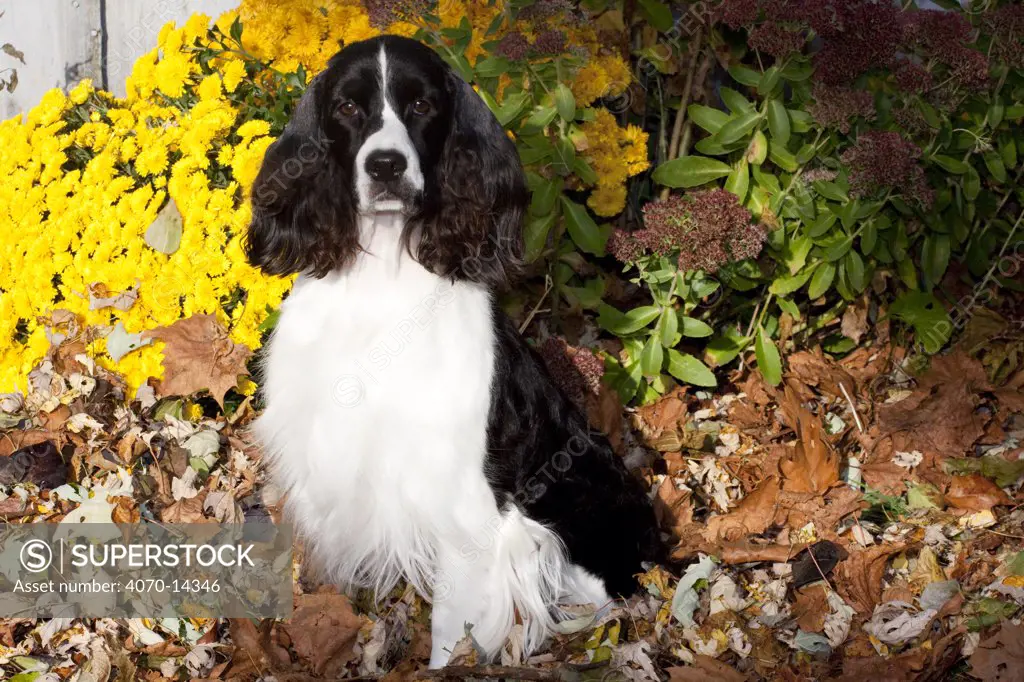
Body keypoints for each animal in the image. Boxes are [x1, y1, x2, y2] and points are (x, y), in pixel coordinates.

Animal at [247, 34, 663, 667]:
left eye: (422, 105)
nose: (385, 165)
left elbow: (453, 626)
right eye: (347, 107)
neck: (384, 287)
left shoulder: (462, 503)